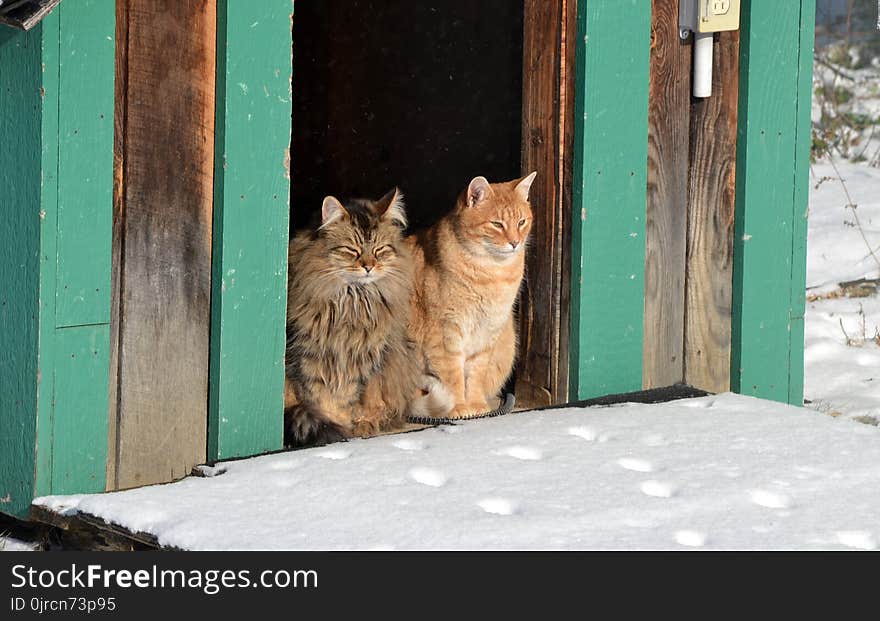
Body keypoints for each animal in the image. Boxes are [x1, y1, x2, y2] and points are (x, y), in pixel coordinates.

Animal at [284, 189, 418, 446]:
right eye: (352, 250)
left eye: (379, 250)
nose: (368, 267)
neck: (353, 300)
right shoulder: (308, 356)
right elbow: (318, 400)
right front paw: (331, 428)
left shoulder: (364, 358)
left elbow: (347, 399)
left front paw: (346, 428)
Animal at [408, 172, 536, 418]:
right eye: (497, 224)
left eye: (521, 222)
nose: (515, 243)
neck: (492, 274)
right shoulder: (446, 334)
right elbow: (453, 376)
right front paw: (458, 407)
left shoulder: (486, 334)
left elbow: (476, 374)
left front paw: (475, 404)